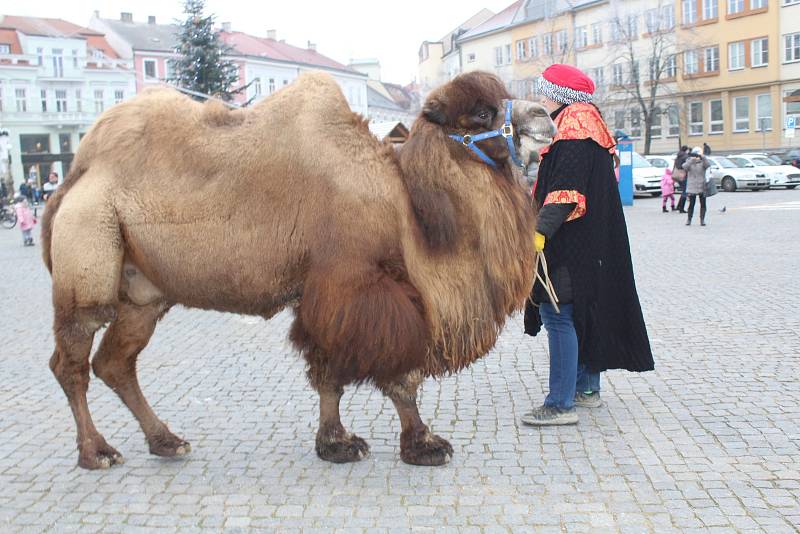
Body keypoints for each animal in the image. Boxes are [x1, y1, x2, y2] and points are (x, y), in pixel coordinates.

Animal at [42, 70, 556, 468]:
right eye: (482, 113)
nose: (545, 116)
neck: (407, 208)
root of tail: (73, 177)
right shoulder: (357, 285)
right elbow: (397, 373)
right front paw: (424, 444)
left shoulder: (329, 294)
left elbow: (329, 373)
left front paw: (336, 444)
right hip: (88, 265)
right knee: (72, 361)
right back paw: (96, 452)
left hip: (144, 293)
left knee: (115, 362)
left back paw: (166, 441)